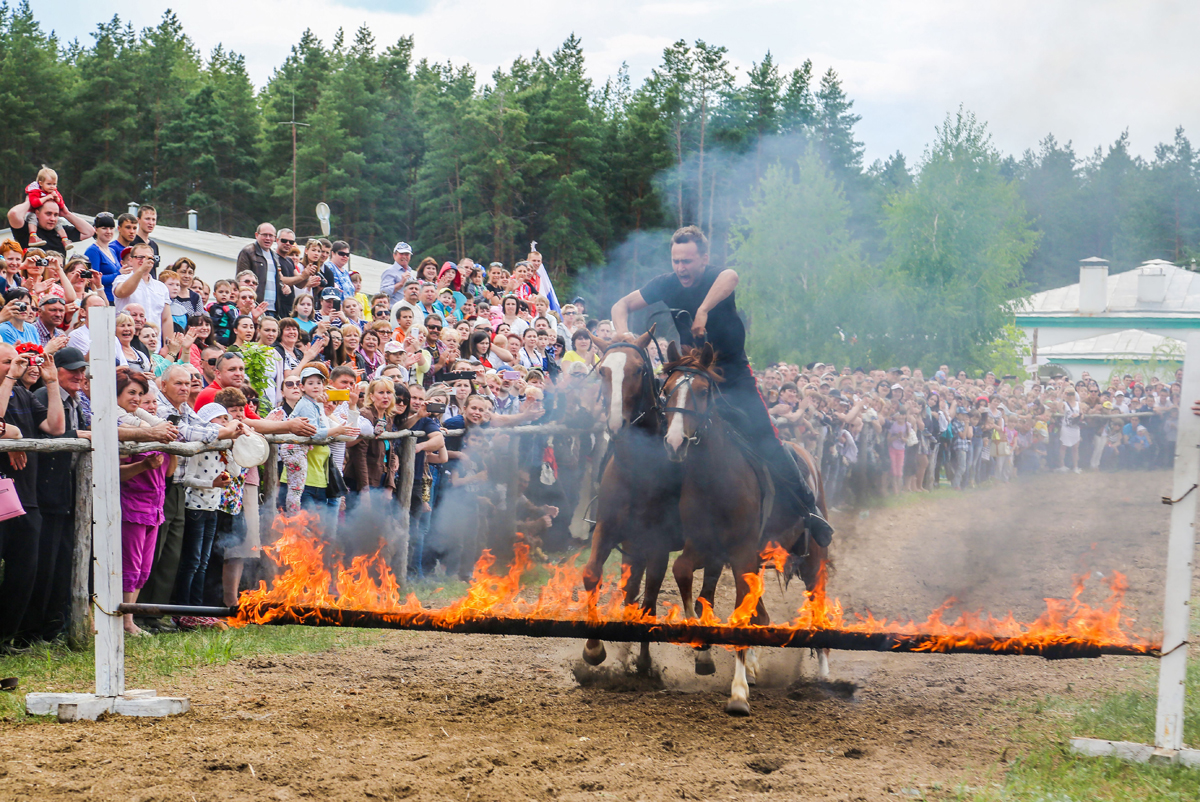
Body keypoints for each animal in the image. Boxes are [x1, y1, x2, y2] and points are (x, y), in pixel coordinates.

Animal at [580, 326, 686, 672]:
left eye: (639, 370)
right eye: (603, 370)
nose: (616, 424)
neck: (638, 472)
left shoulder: (658, 545)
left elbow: (650, 599)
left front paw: (644, 661)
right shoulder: (608, 530)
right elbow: (593, 575)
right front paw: (593, 649)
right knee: (630, 591)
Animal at [662, 340, 830, 715]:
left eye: (702, 390)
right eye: (666, 390)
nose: (675, 443)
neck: (716, 480)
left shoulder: (739, 555)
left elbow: (740, 616)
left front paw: (738, 692)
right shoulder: (705, 548)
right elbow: (683, 574)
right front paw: (703, 649)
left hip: (812, 557)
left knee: (816, 600)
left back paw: (825, 672)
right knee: (760, 611)